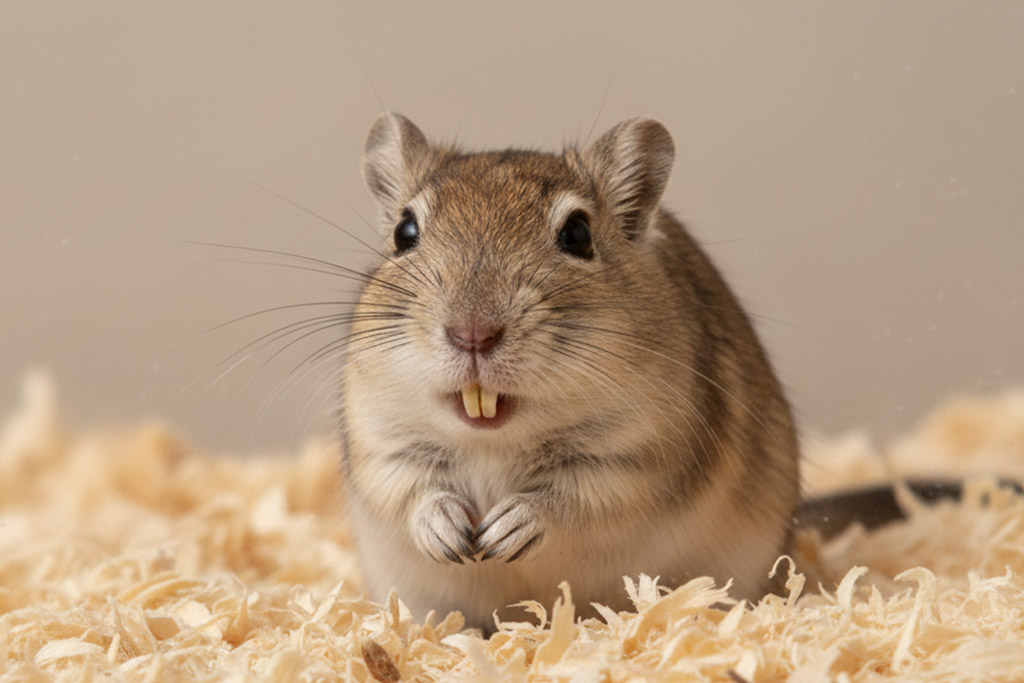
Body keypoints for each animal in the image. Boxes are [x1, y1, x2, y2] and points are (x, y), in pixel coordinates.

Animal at [339, 113, 800, 631]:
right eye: (405, 231)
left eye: (578, 235)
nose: (472, 333)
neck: (493, 438)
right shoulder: (382, 446)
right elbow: (415, 492)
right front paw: (452, 537)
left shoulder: (633, 465)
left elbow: (567, 500)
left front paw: (502, 534)